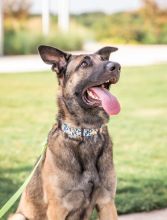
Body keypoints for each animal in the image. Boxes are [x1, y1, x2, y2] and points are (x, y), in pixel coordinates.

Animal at [9, 45, 120, 219]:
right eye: (84, 64)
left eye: (104, 59)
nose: (116, 66)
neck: (85, 133)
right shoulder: (58, 208)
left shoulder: (107, 203)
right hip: (18, 216)